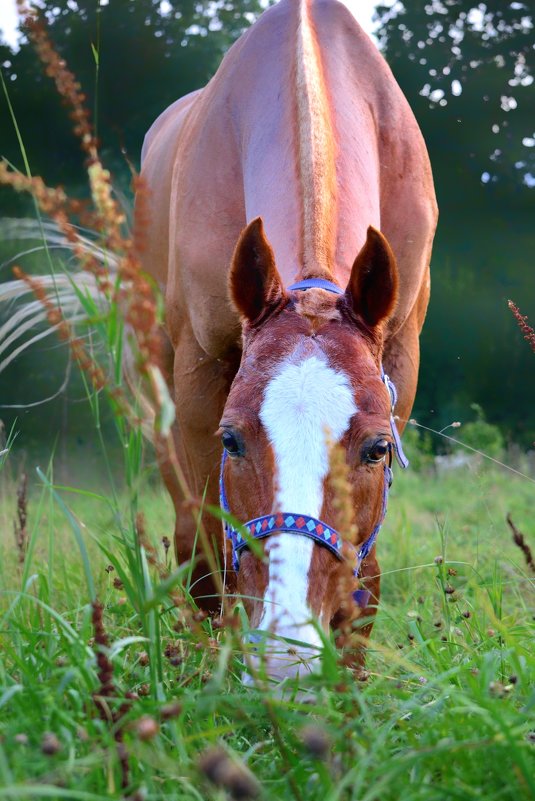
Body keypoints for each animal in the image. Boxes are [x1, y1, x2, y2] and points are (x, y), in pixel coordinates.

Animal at [140, 0, 438, 680]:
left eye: (379, 449)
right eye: (232, 439)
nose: (287, 660)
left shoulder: (401, 358)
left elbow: (366, 569)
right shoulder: (199, 373)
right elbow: (209, 542)